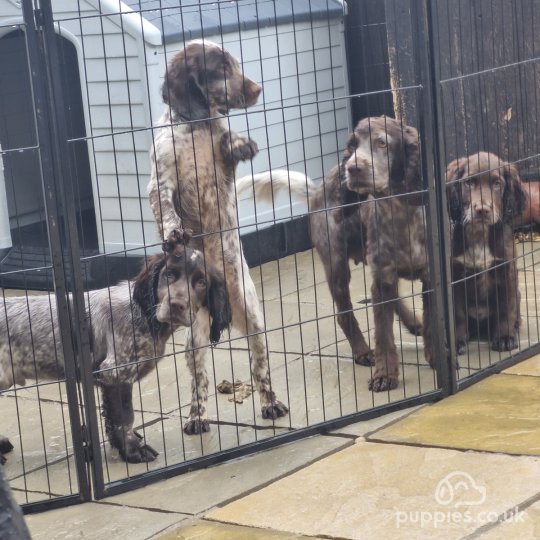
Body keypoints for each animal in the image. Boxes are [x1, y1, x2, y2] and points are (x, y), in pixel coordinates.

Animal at [0, 245, 230, 464]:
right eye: (169, 274)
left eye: (201, 282)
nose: (176, 305)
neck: (144, 314)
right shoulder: (116, 373)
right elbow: (124, 418)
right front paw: (133, 451)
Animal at [148, 39, 288, 434]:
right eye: (220, 69)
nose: (257, 89)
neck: (194, 127)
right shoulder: (160, 181)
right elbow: (166, 210)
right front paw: (174, 233)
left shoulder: (223, 167)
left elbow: (228, 143)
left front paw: (241, 142)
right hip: (193, 337)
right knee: (201, 383)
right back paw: (197, 417)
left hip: (254, 319)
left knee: (260, 369)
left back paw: (271, 403)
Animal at [448, 152, 528, 354]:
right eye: (469, 183)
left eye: (497, 184)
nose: (482, 210)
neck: (479, 234)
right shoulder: (455, 274)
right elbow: (457, 313)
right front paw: (457, 340)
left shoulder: (506, 269)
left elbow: (506, 308)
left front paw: (505, 338)